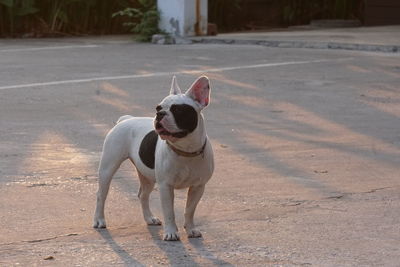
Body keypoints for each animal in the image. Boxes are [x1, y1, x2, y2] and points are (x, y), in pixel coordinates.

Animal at [94, 75, 214, 241]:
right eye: (158, 108)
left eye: (178, 110)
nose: (160, 114)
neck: (185, 150)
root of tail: (126, 119)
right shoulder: (165, 186)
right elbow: (169, 212)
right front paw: (171, 232)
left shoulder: (198, 187)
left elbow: (190, 210)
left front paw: (191, 229)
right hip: (108, 168)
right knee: (101, 195)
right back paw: (99, 220)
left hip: (147, 176)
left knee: (143, 195)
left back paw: (149, 218)